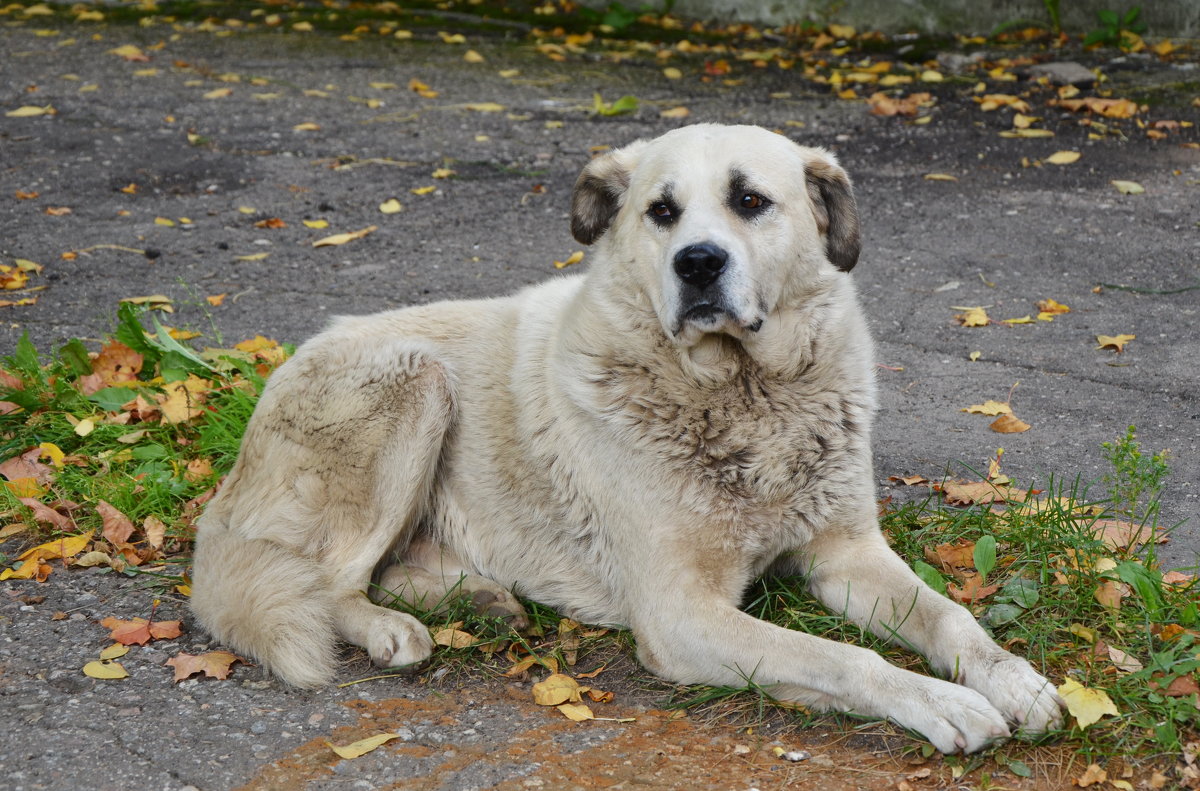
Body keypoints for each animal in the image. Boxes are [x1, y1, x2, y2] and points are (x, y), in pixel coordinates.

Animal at [192, 123, 1065, 753]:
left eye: (751, 200)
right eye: (662, 211)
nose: (699, 263)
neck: (744, 397)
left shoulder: (845, 553)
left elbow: (950, 617)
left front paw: (1012, 678)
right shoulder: (682, 615)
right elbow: (846, 657)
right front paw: (943, 702)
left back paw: (479, 595)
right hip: (417, 384)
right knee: (330, 580)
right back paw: (390, 628)